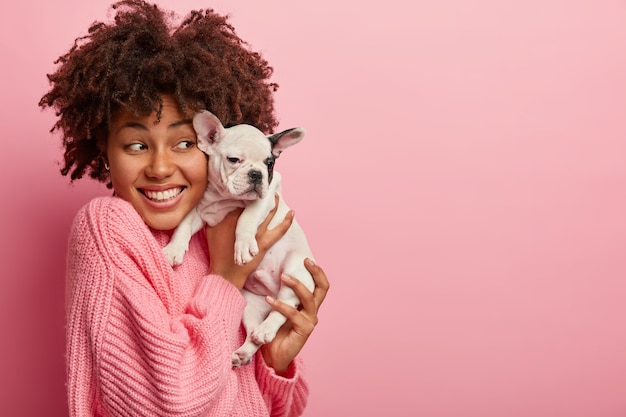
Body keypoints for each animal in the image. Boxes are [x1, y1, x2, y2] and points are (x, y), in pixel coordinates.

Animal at [163, 109, 314, 366]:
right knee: (254, 328)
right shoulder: (201, 210)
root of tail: (271, 294)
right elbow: (183, 225)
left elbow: (247, 216)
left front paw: (243, 246)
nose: (256, 174)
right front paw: (174, 249)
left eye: (269, 164)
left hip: (296, 274)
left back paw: (266, 329)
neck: (225, 198)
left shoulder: (267, 196)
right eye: (234, 160)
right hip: (248, 303)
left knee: (284, 307)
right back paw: (245, 351)